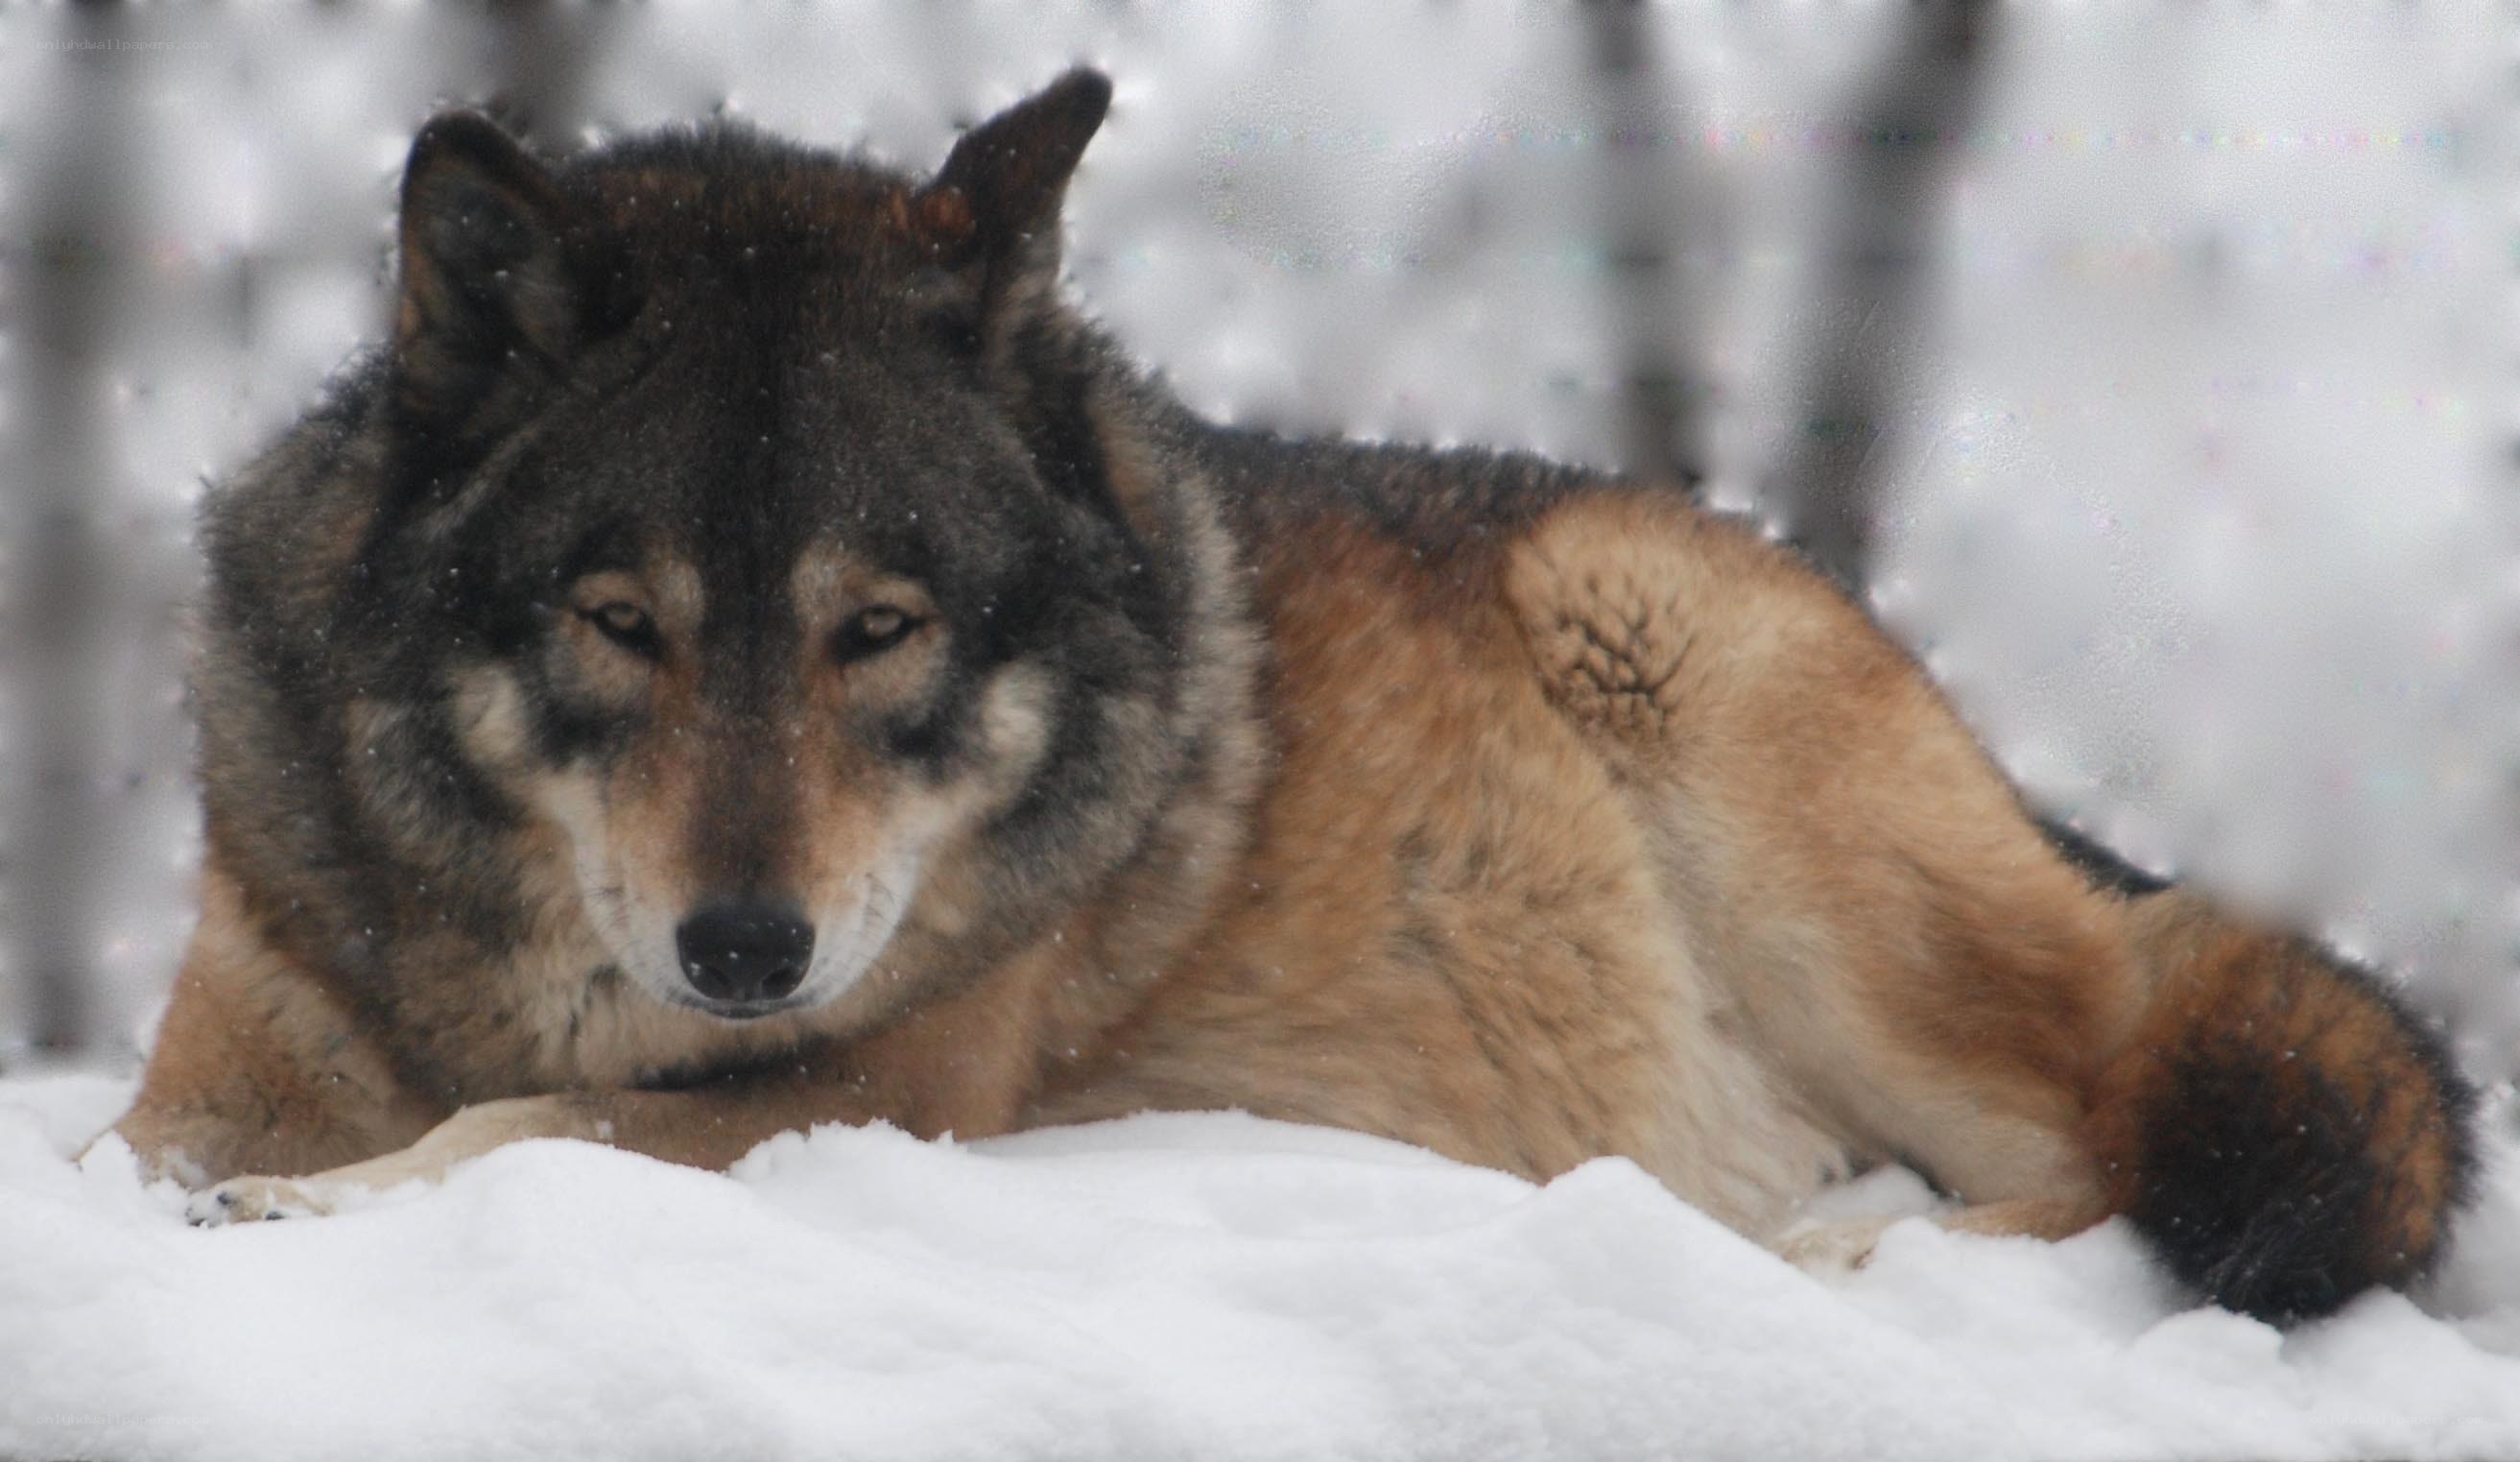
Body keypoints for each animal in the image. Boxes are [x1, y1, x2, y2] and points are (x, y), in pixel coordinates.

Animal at [103, 68, 2472, 1323]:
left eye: (879, 627)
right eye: (621, 618)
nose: (747, 947)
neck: (511, 961)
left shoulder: (885, 1093)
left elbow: (526, 1122)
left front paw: (302, 1212)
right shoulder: (228, 1035)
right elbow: (152, 1143)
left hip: (1685, 681)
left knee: (2100, 1144)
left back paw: (1823, 1256)